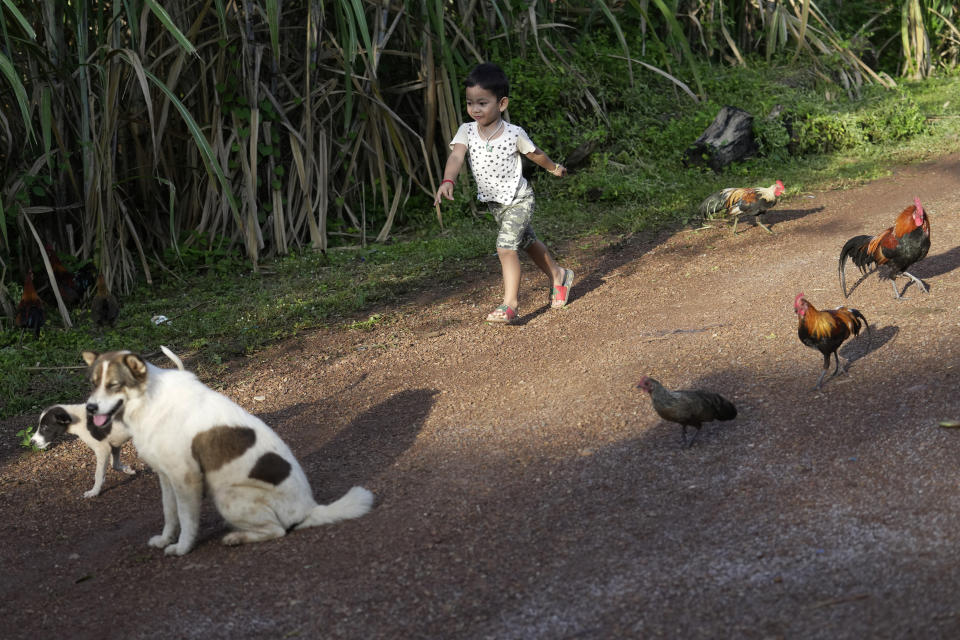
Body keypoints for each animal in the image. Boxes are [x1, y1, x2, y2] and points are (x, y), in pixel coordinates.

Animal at [30, 344, 186, 500]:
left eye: (45, 427)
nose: (31, 441)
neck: (79, 418)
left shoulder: (102, 449)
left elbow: (99, 475)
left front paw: (94, 491)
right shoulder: (114, 446)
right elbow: (115, 465)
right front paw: (128, 470)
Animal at [80, 350, 374, 556]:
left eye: (114, 385)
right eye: (93, 384)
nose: (90, 409)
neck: (148, 399)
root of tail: (309, 508)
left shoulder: (186, 478)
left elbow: (186, 520)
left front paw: (182, 548)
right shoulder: (165, 476)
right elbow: (170, 514)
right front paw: (165, 539)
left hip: (227, 495)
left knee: (277, 530)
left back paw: (237, 537)